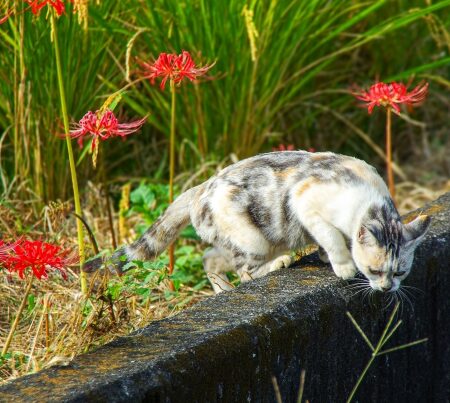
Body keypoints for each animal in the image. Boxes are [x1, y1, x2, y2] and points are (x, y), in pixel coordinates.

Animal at [82, 152, 430, 294]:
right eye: (374, 270)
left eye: (400, 272)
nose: (386, 288)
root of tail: (199, 189)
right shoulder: (305, 203)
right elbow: (331, 237)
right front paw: (342, 265)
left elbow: (329, 240)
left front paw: (323, 255)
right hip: (255, 241)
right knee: (244, 271)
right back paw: (277, 265)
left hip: (241, 241)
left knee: (210, 259)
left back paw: (222, 290)